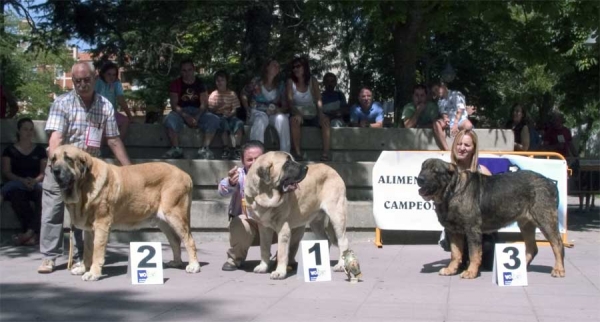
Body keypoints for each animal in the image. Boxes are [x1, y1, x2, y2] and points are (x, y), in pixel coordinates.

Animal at [48, 145, 202, 280]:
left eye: (68, 158)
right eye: (53, 159)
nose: (55, 171)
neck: (84, 185)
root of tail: (185, 174)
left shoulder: (101, 225)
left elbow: (97, 251)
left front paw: (93, 273)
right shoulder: (89, 230)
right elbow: (87, 250)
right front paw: (84, 268)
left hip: (175, 215)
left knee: (189, 240)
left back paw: (194, 265)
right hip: (163, 221)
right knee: (175, 240)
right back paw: (176, 262)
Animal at [414, 158, 564, 280]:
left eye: (435, 171)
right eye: (422, 168)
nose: (419, 178)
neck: (452, 192)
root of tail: (550, 182)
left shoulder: (472, 229)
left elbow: (474, 253)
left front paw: (471, 272)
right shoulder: (453, 231)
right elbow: (455, 253)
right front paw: (451, 269)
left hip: (545, 220)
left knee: (557, 244)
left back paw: (559, 269)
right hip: (526, 224)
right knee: (532, 248)